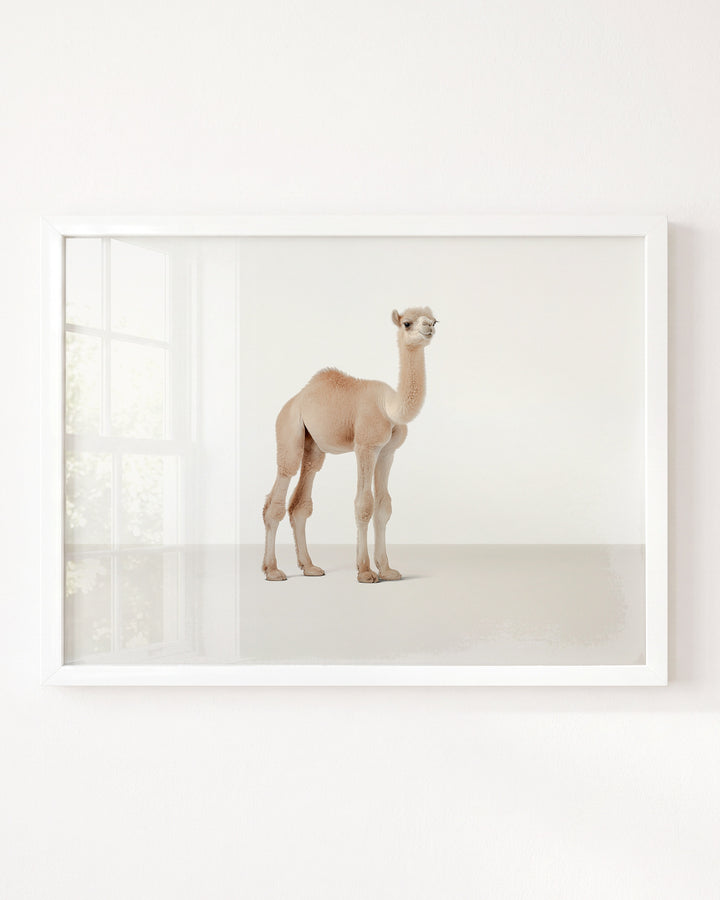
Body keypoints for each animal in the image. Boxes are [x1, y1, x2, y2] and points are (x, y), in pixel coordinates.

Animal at [262, 306, 437, 583]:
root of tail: (295, 399)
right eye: (407, 323)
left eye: (435, 320)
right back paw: (273, 570)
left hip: (314, 445)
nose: (428, 327)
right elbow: (364, 504)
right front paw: (365, 571)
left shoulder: (387, 451)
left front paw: (387, 570)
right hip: (288, 429)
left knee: (301, 499)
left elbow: (384, 506)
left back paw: (310, 567)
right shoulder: (365, 446)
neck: (389, 407)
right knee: (280, 488)